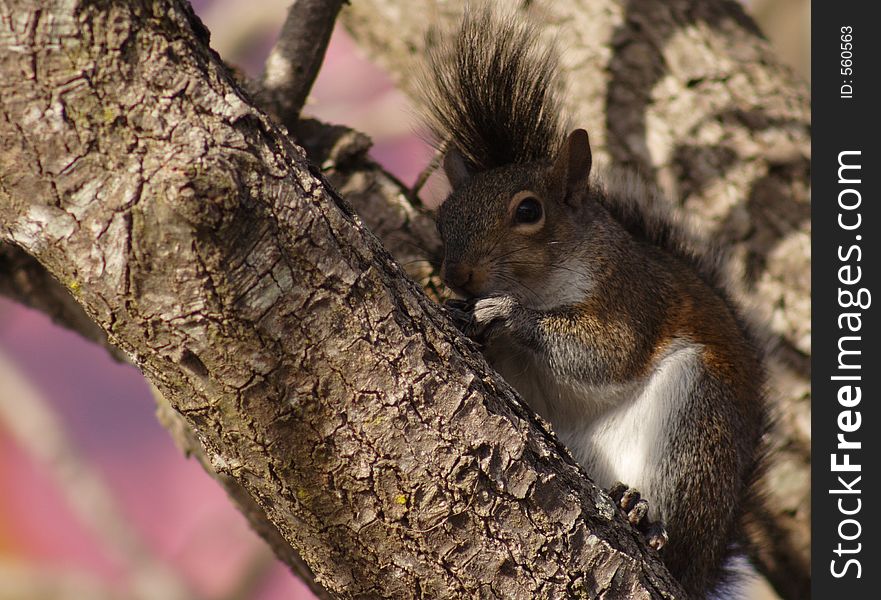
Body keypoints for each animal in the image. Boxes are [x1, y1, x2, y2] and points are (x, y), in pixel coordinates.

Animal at [416, 7, 768, 596]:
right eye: (444, 215)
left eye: (529, 211)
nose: (456, 273)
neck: (541, 283)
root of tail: (705, 565)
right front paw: (462, 311)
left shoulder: (631, 293)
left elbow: (609, 352)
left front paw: (506, 313)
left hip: (699, 420)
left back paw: (644, 520)